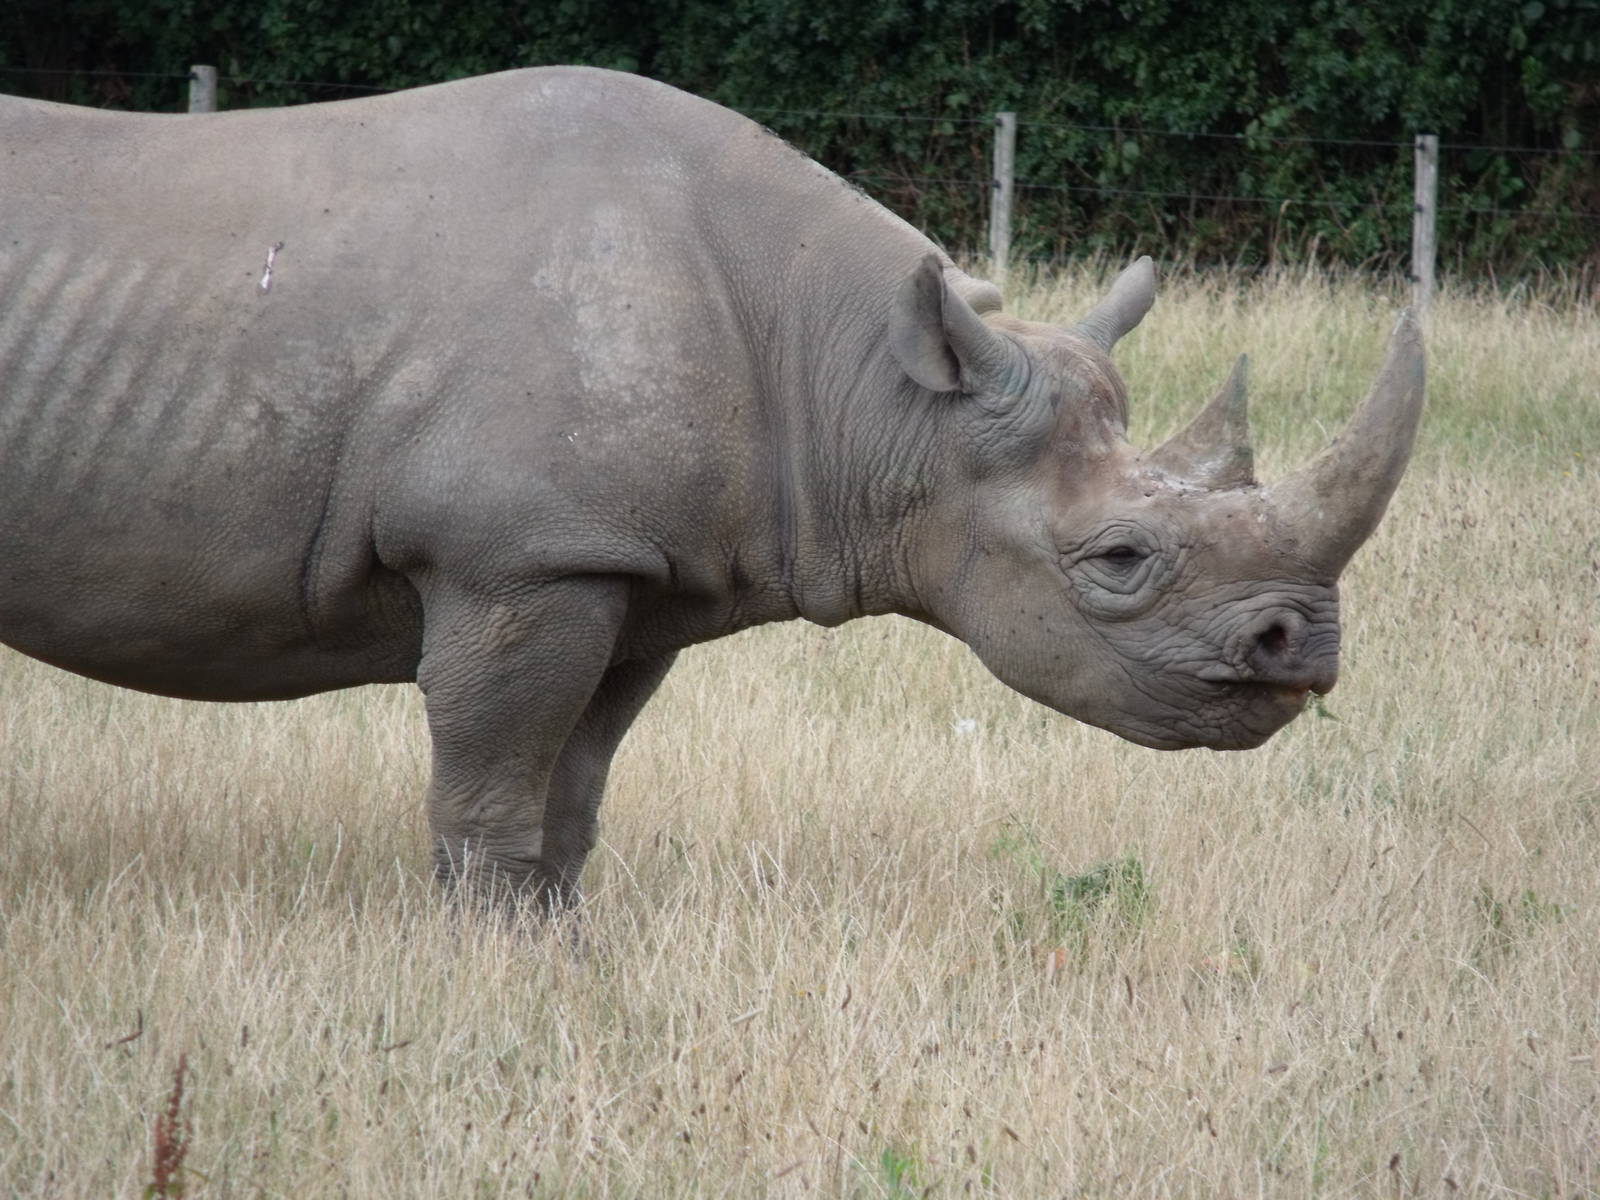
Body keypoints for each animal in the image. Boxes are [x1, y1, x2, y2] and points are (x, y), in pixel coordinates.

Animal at [0, 67, 1422, 906]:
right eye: (1120, 561)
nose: (1307, 651)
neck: (871, 389)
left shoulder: (626, 568)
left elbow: (569, 793)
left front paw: (555, 952)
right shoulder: (517, 556)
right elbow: (490, 786)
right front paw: (482, 961)